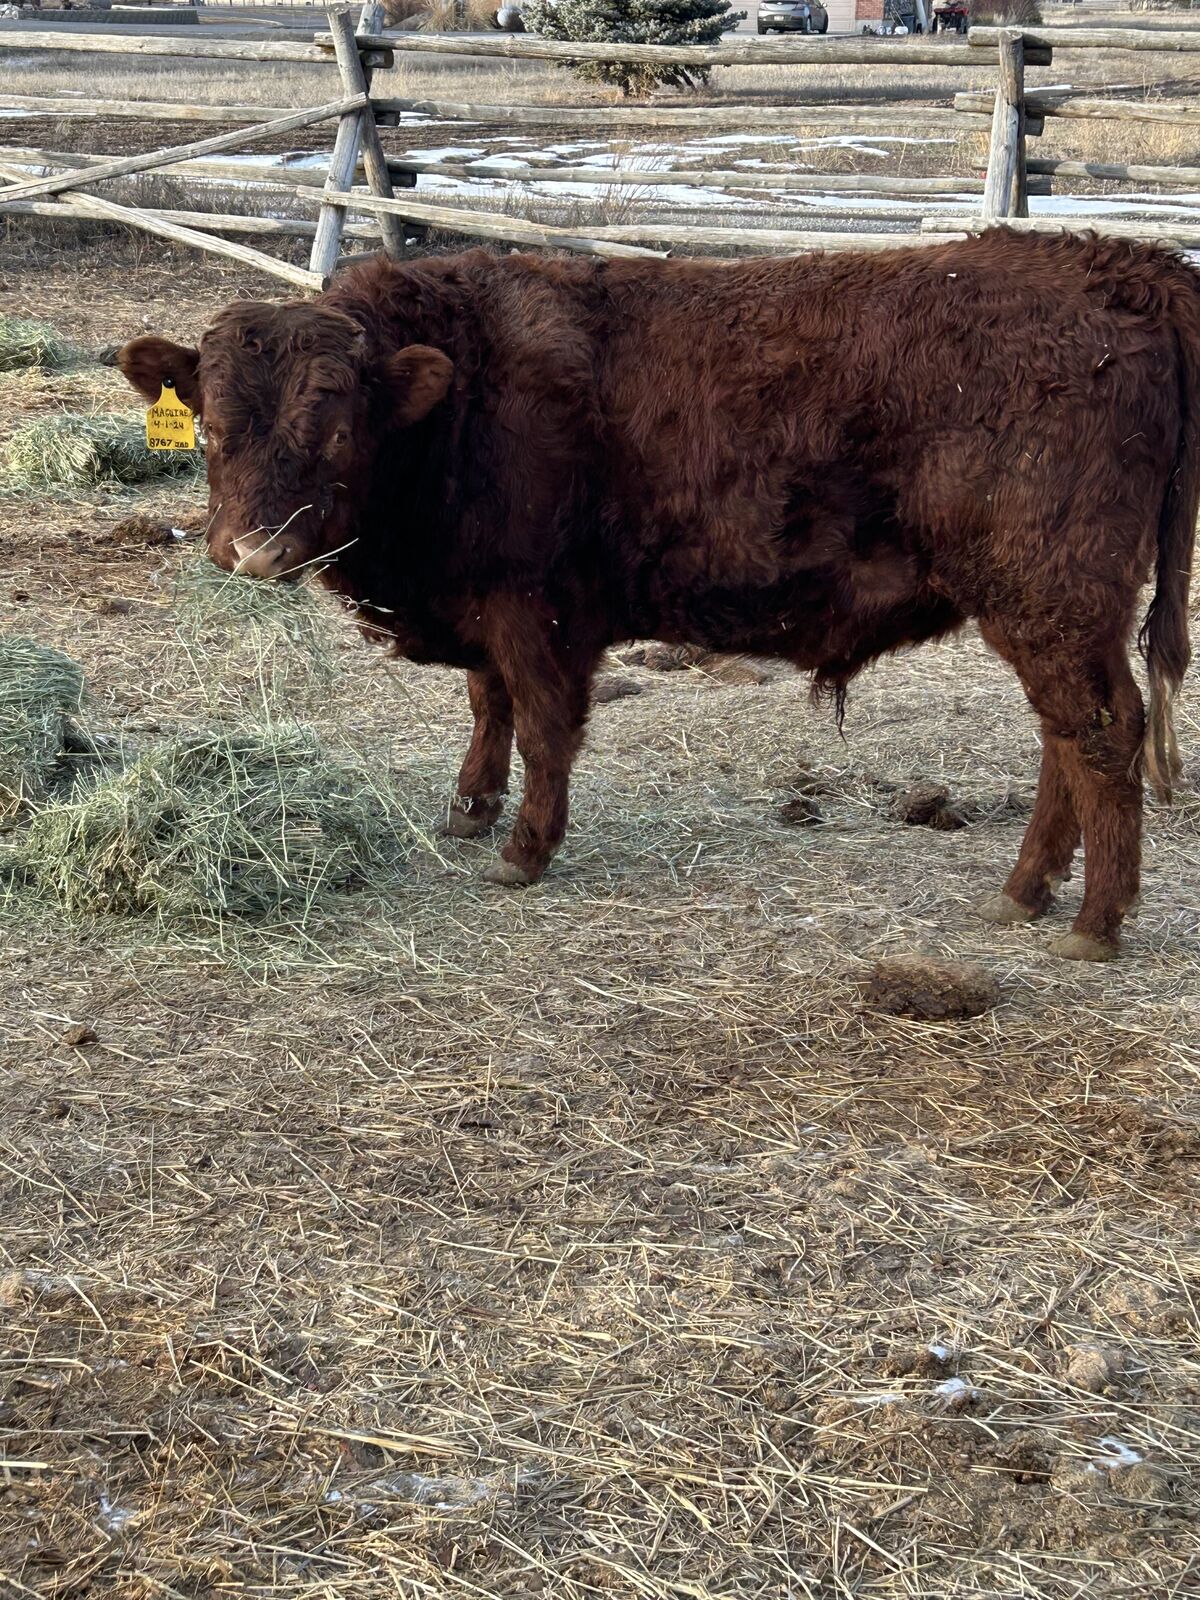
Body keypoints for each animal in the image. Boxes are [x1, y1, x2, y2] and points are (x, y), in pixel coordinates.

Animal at [118, 230, 1199, 960]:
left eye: (338, 428)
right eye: (211, 424)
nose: (251, 551)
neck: (463, 386)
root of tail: (1117, 265)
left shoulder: (537, 610)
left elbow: (544, 725)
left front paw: (523, 849)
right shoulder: (485, 609)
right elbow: (487, 702)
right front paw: (469, 808)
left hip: (1049, 597)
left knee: (1102, 734)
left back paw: (1092, 921)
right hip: (1046, 610)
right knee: (1068, 739)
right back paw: (1025, 891)